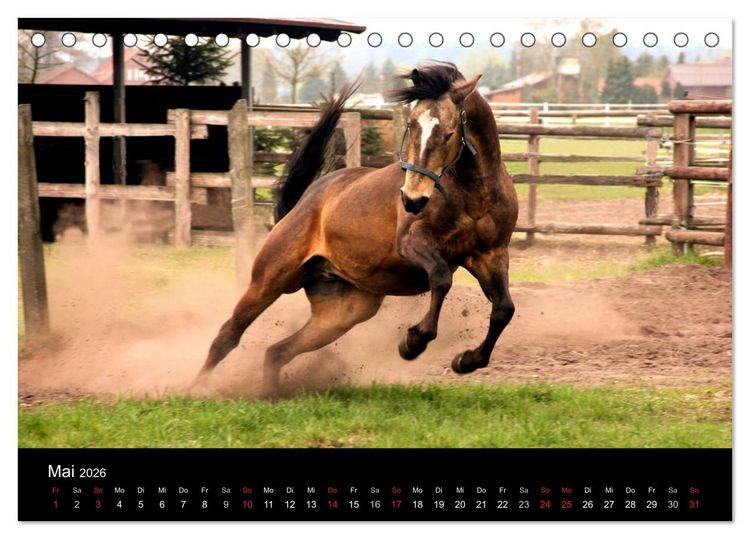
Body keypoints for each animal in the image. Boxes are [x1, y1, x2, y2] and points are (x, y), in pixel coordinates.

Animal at [196, 61, 519, 397]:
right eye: (412, 125)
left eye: (449, 133)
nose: (412, 199)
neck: (473, 194)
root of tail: (307, 200)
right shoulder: (412, 242)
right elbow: (441, 278)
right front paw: (413, 341)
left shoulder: (491, 254)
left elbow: (504, 309)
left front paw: (467, 361)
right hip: (269, 279)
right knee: (228, 335)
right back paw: (195, 388)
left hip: (341, 313)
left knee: (277, 351)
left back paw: (269, 394)